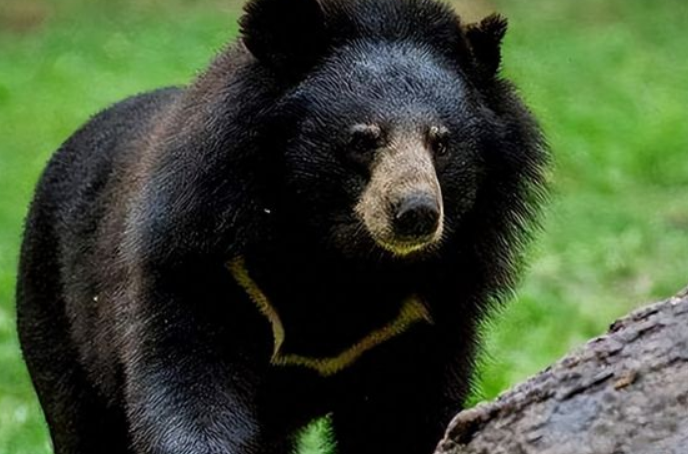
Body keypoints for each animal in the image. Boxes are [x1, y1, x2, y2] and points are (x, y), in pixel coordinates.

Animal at [16, 0, 548, 453]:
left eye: (441, 142)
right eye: (362, 139)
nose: (416, 212)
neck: (335, 253)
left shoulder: (425, 313)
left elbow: (403, 415)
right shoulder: (199, 264)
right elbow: (188, 385)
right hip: (54, 311)